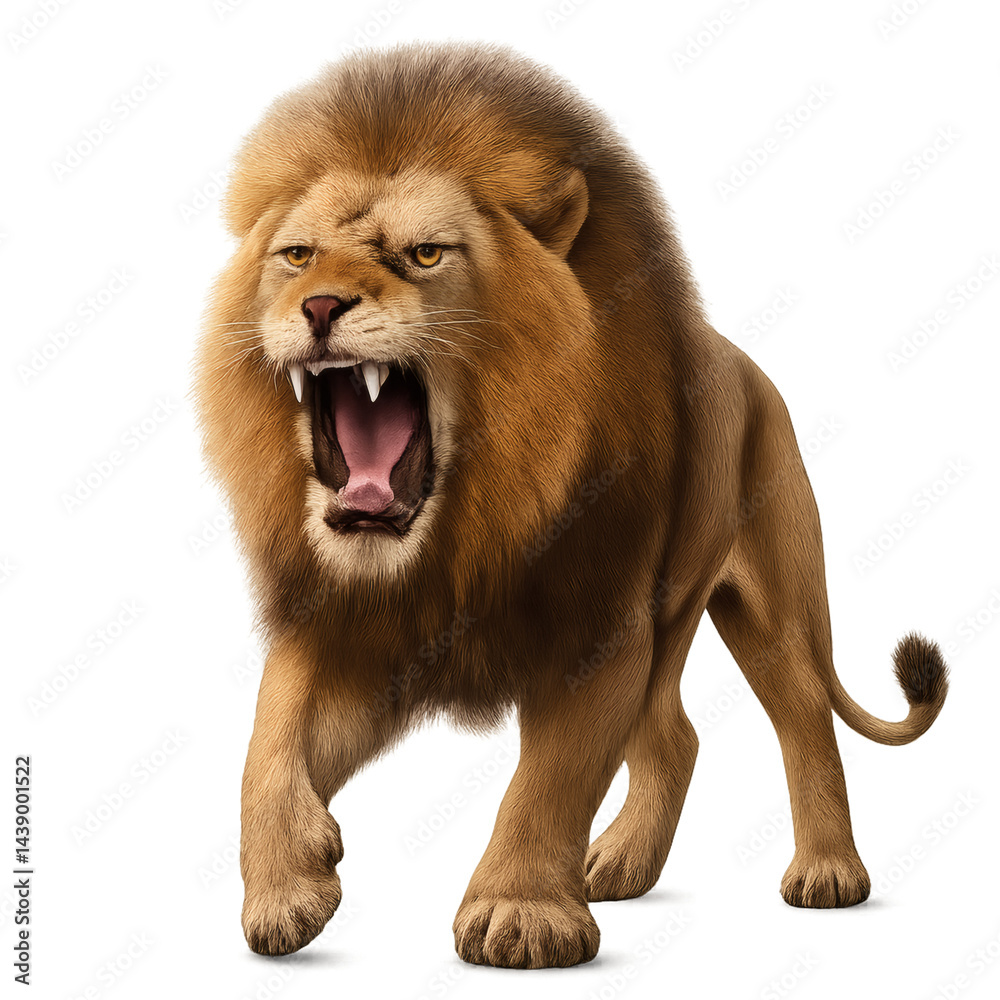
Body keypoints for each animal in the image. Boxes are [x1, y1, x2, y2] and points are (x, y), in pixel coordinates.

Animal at [192, 41, 949, 969]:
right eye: (296, 255)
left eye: (426, 254)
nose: (321, 305)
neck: (463, 534)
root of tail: (746, 365)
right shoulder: (344, 621)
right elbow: (265, 748)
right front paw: (287, 885)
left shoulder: (601, 624)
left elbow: (550, 780)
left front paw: (520, 914)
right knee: (676, 733)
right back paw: (619, 863)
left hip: (771, 602)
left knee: (805, 717)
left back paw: (829, 873)